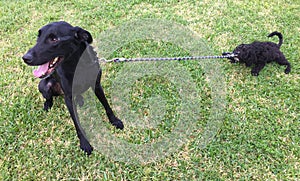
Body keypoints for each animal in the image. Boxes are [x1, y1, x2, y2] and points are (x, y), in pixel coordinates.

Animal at [22, 20, 123, 154]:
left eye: (54, 39)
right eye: (38, 37)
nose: (25, 58)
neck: (77, 65)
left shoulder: (97, 86)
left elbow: (107, 105)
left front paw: (114, 121)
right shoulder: (68, 99)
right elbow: (77, 122)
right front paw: (84, 142)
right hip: (43, 85)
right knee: (49, 97)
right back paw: (48, 104)